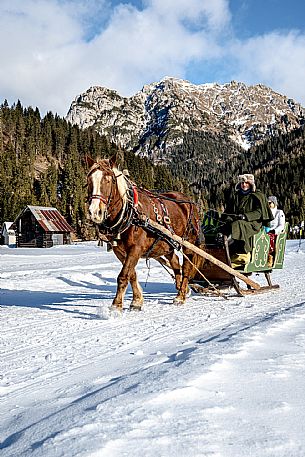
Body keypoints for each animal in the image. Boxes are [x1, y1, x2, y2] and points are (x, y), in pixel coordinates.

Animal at [85, 155, 200, 312]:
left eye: (109, 180)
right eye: (89, 180)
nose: (95, 212)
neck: (130, 213)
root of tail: (188, 200)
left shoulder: (135, 249)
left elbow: (123, 276)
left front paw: (116, 306)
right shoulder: (119, 251)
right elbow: (131, 274)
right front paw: (137, 301)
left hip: (188, 242)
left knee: (186, 267)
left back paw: (181, 296)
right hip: (166, 243)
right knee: (176, 262)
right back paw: (182, 288)